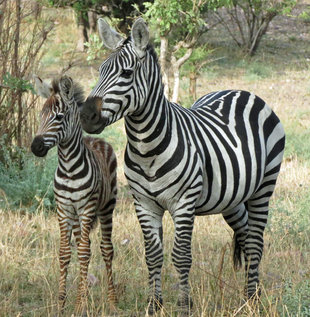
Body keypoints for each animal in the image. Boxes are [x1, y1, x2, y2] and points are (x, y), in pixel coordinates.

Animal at [31, 74, 117, 314]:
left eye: (59, 117)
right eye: (40, 115)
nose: (35, 147)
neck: (69, 168)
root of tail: (96, 139)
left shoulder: (87, 208)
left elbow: (86, 252)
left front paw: (79, 305)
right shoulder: (64, 209)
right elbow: (66, 253)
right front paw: (62, 304)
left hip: (106, 207)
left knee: (106, 249)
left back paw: (112, 301)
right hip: (78, 215)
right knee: (82, 245)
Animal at [80, 19, 286, 314]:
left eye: (127, 73)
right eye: (100, 71)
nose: (86, 116)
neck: (147, 149)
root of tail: (241, 91)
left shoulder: (184, 203)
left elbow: (181, 256)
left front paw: (184, 306)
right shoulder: (144, 203)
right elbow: (153, 255)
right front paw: (154, 305)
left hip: (264, 187)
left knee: (256, 241)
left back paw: (252, 299)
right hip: (233, 198)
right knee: (246, 235)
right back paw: (248, 293)